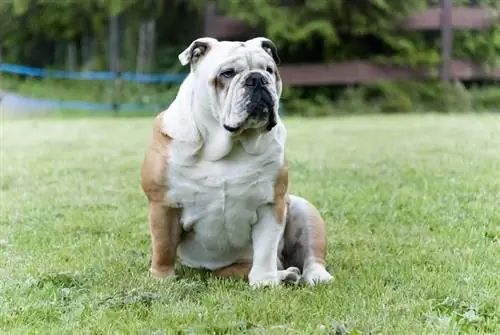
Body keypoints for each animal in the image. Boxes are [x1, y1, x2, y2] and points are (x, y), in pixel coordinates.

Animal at [140, 37, 332, 288]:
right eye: (227, 73)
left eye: (270, 70)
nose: (257, 78)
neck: (227, 146)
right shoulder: (163, 204)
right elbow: (163, 247)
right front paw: (162, 279)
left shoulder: (271, 204)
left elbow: (265, 248)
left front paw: (265, 281)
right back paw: (286, 274)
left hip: (303, 210)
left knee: (310, 257)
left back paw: (311, 275)